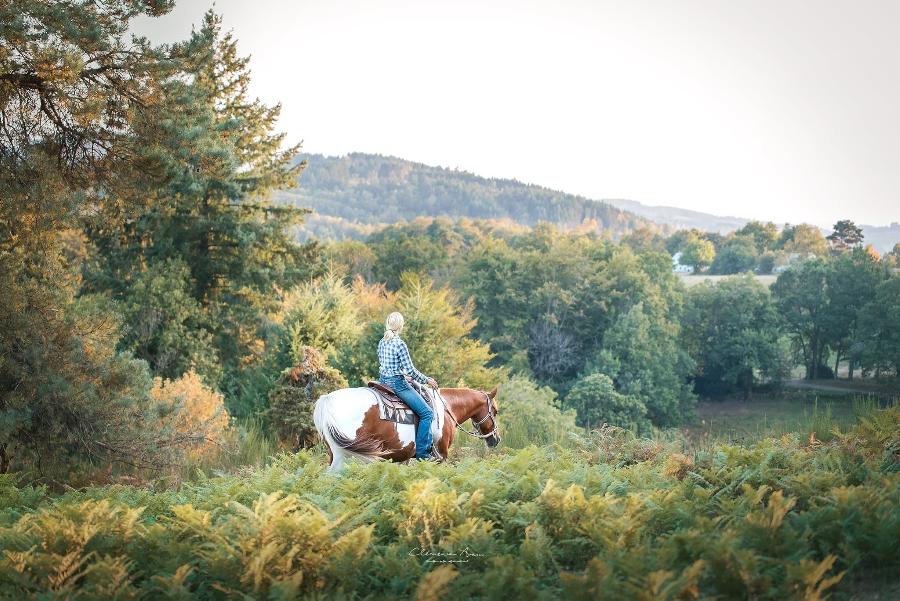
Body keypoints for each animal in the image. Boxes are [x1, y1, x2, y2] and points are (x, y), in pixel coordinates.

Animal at [314, 382, 500, 472]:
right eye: (496, 411)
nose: (496, 439)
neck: (446, 408)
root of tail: (328, 399)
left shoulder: (405, 456)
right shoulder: (442, 454)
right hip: (344, 456)